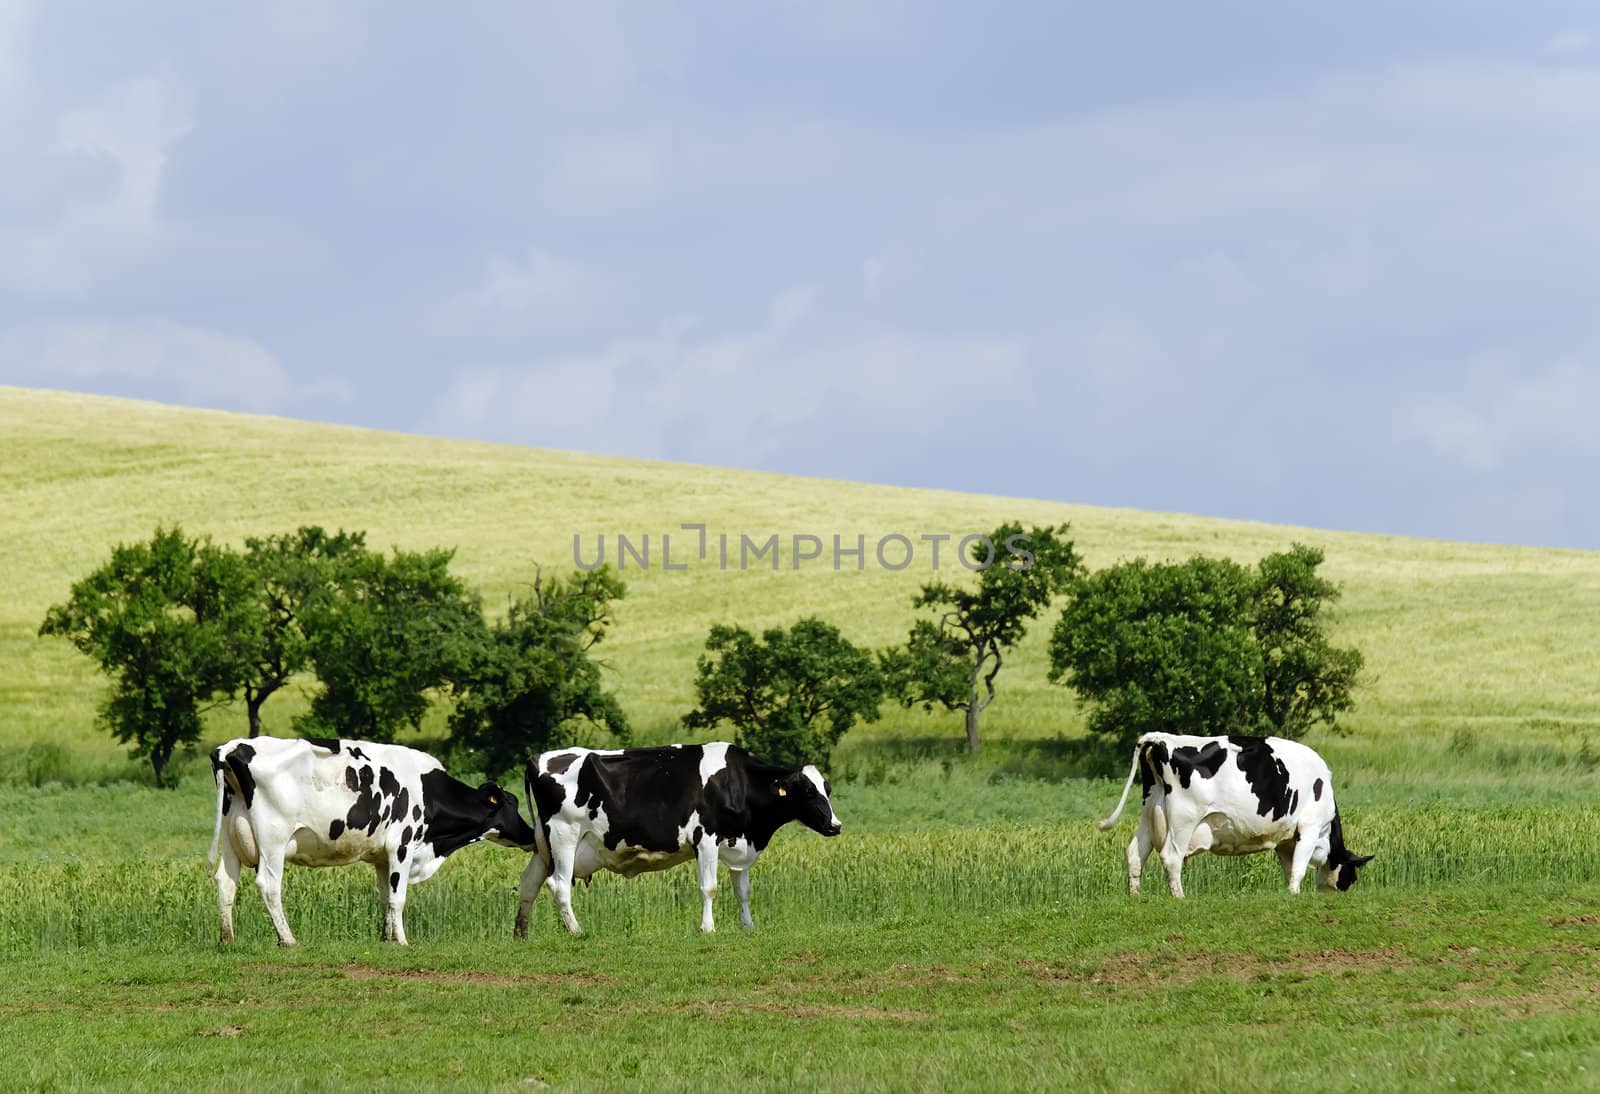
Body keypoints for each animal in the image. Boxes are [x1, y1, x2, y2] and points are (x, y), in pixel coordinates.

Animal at [209, 735, 537, 946]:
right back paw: (288, 939)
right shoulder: (402, 845)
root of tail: (234, 746)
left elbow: (385, 897)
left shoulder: (382, 856)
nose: (532, 836)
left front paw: (386, 938)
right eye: (511, 804)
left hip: (231, 838)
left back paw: (227, 939)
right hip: (273, 840)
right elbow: (398, 897)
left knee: (226, 882)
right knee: (268, 885)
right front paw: (402, 941)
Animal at [515, 738, 844, 934]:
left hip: (544, 846)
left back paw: (521, 933)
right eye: (808, 791)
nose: (836, 825)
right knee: (559, 885)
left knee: (529, 884)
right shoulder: (707, 839)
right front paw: (708, 928)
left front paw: (748, 926)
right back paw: (577, 931)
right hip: (564, 836)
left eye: (827, 789)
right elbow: (710, 888)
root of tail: (537, 757)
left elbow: (742, 891)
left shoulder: (739, 845)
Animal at [1100, 735, 1376, 895]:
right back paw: (1179, 897)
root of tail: (1160, 738)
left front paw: (1289, 894)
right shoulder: (1309, 828)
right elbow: (1298, 869)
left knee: (1135, 853)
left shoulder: (1286, 840)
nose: (1344, 891)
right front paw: (1295, 895)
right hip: (1183, 819)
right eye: (1352, 874)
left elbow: (1289, 869)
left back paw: (1135, 896)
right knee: (1171, 857)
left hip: (1149, 812)